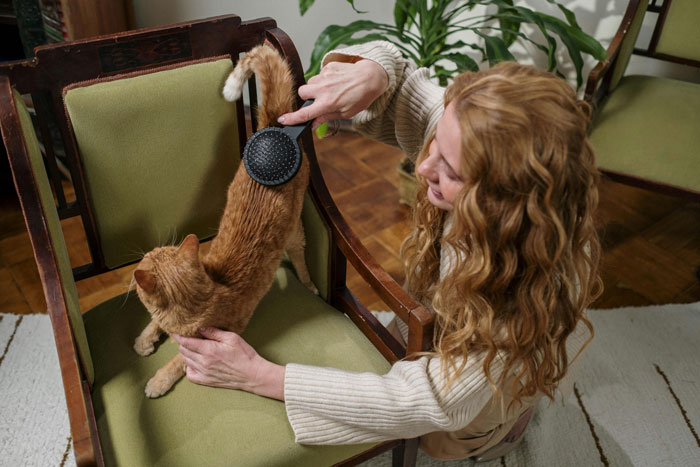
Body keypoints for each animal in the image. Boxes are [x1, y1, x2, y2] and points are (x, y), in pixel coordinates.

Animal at [132, 44, 318, 398]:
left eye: (149, 257)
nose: (144, 252)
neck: (209, 291)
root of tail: (275, 128)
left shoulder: (211, 341)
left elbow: (178, 361)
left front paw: (157, 380)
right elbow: (153, 322)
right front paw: (144, 340)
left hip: (295, 233)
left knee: (301, 259)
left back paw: (310, 284)